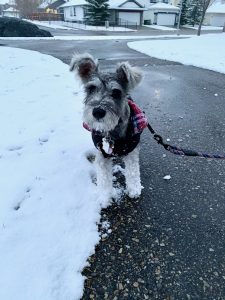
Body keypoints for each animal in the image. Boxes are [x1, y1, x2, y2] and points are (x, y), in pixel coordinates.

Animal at [70, 53, 147, 202]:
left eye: (116, 92)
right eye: (91, 88)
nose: (98, 112)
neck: (112, 132)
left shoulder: (131, 151)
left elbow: (133, 171)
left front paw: (134, 189)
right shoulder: (102, 155)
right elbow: (104, 177)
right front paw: (104, 197)